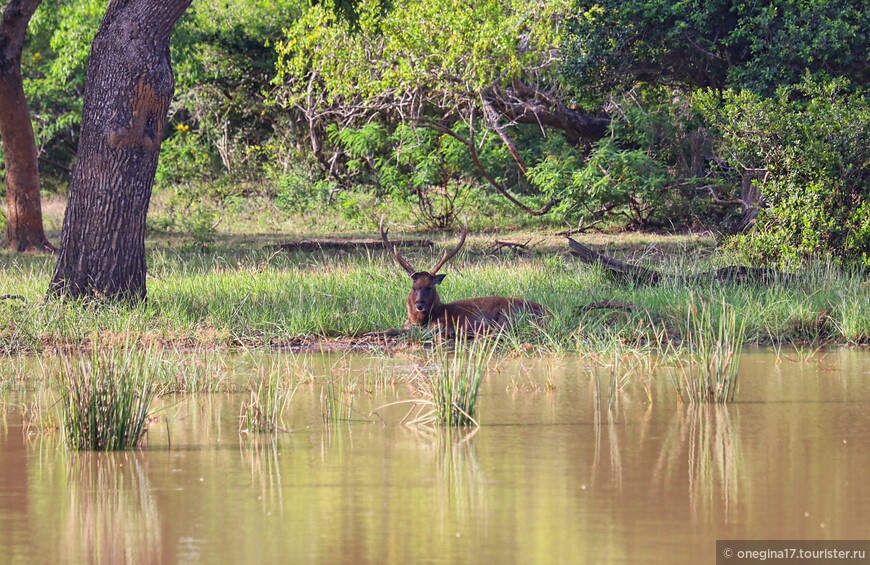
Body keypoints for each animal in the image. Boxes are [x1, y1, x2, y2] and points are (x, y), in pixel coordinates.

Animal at [380, 219, 544, 334]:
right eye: (414, 287)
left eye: (430, 286)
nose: (419, 304)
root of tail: (548, 312)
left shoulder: (442, 323)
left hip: (508, 314)